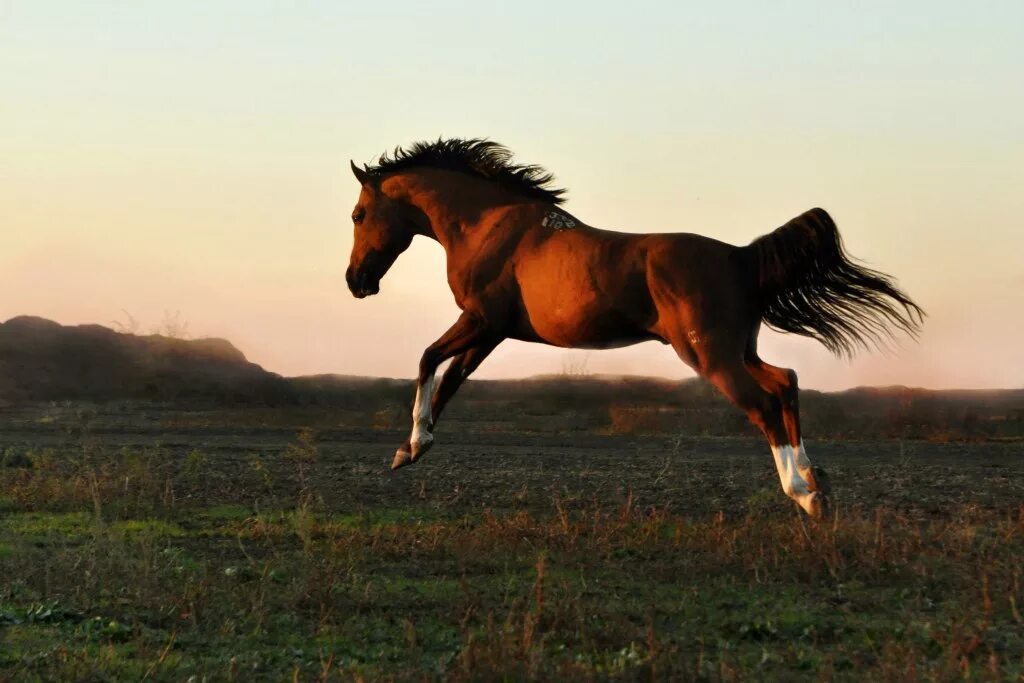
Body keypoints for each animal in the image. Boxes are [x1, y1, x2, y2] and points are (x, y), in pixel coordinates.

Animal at [346, 139, 929, 516]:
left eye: (357, 214)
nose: (356, 282)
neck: (491, 225)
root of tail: (740, 257)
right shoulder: (490, 331)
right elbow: (451, 379)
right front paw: (413, 450)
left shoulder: (480, 320)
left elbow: (427, 359)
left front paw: (410, 445)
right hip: (738, 350)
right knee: (785, 382)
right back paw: (816, 478)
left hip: (710, 356)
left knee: (763, 404)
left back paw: (804, 495)